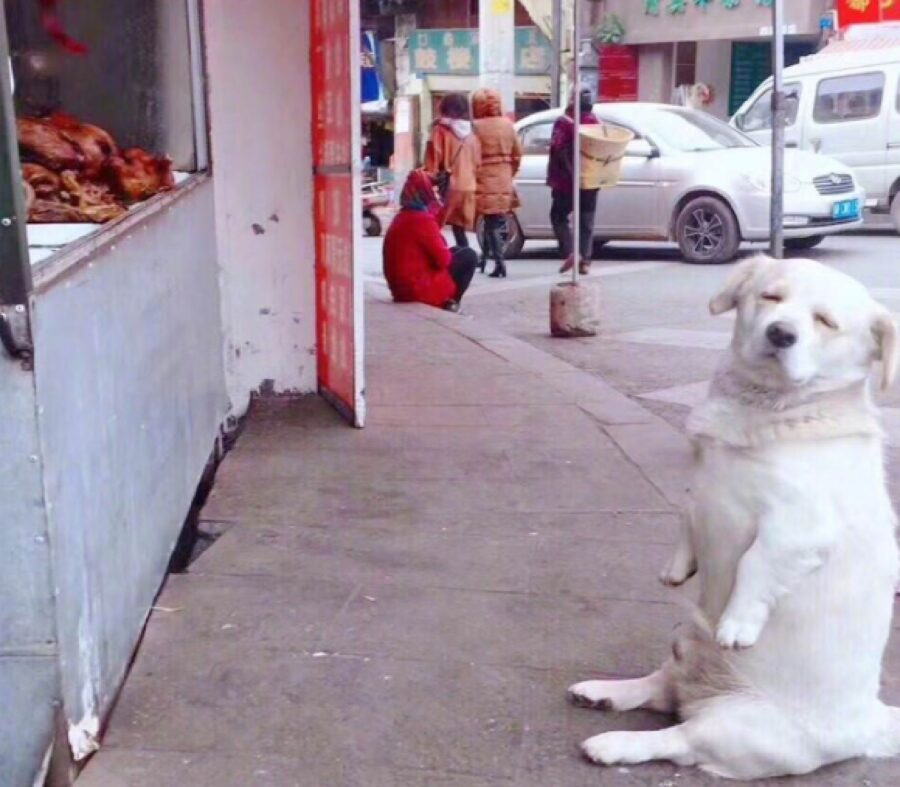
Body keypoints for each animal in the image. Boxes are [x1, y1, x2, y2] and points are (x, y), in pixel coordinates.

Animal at [568, 255, 900, 780]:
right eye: (771, 297)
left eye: (825, 322)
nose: (781, 333)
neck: (764, 411)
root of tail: (869, 725)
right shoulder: (700, 482)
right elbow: (687, 512)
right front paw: (677, 567)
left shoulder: (798, 526)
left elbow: (756, 564)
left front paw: (738, 623)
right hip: (683, 649)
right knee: (660, 688)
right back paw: (604, 692)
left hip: (734, 726)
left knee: (676, 737)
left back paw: (613, 743)